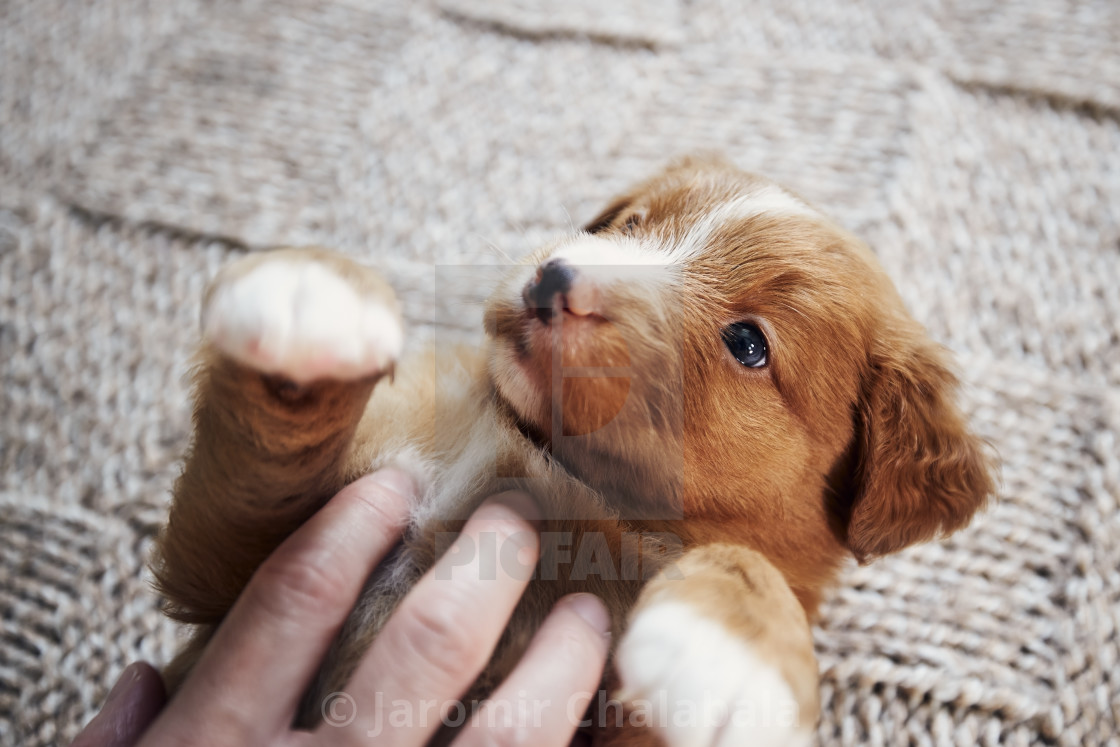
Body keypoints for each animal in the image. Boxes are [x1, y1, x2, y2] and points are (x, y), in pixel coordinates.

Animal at [151, 157, 999, 747]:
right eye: (627, 224)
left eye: (749, 343)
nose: (553, 277)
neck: (554, 473)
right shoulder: (232, 575)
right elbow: (258, 470)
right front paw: (314, 294)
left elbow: (745, 564)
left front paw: (732, 655)